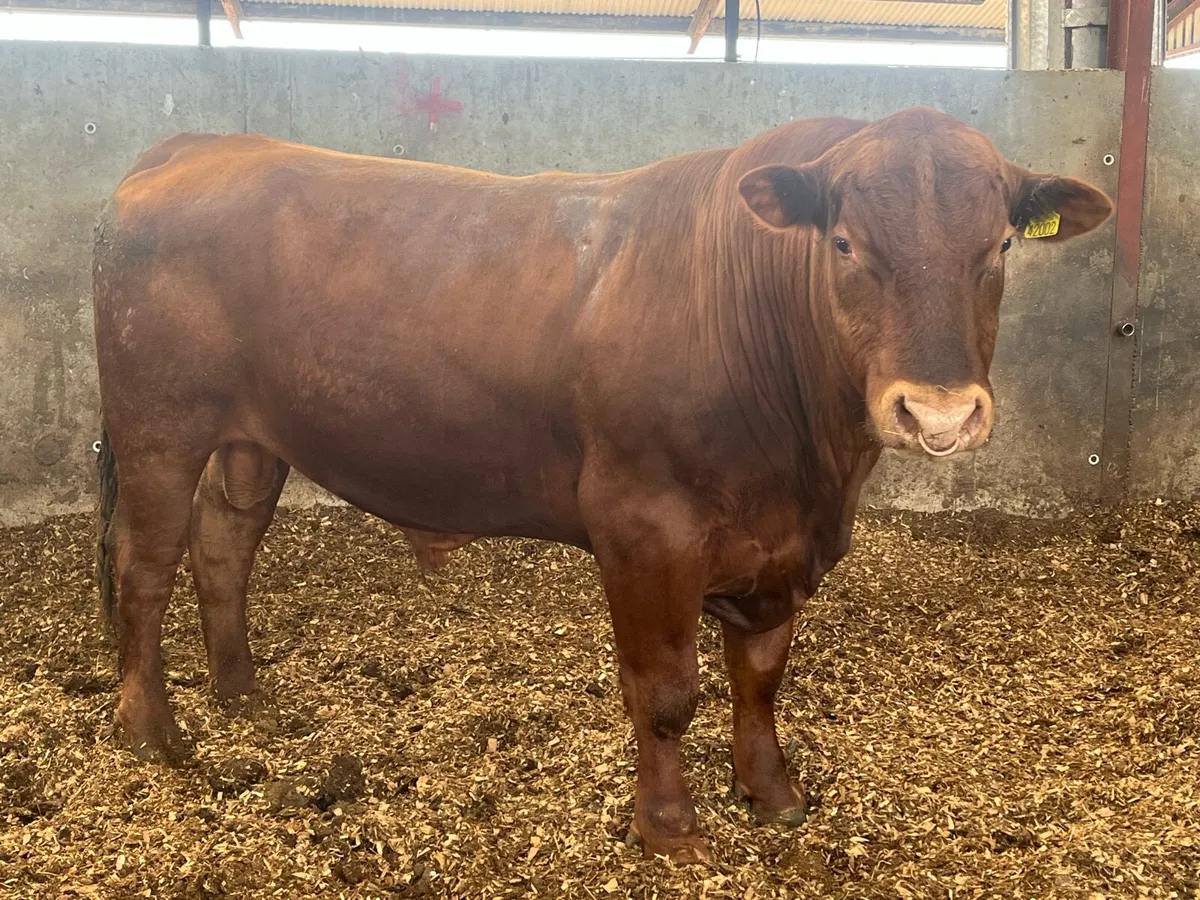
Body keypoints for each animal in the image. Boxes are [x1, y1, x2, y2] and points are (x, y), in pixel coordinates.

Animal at [92, 107, 1111, 862]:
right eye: (846, 245)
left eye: (1001, 248)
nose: (938, 412)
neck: (809, 465)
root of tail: (193, 147)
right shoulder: (643, 528)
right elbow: (664, 691)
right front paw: (669, 829)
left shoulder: (778, 546)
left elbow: (760, 677)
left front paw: (772, 793)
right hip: (158, 425)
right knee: (145, 564)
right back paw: (151, 729)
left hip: (250, 438)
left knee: (223, 542)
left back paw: (240, 691)